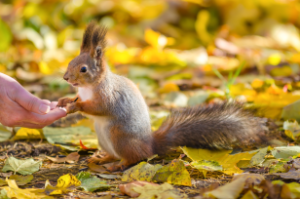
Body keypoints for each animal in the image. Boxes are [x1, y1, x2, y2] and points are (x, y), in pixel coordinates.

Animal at [57, 22, 268, 171]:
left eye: (83, 69)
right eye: (70, 62)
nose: (66, 77)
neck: (88, 88)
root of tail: (150, 145)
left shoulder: (108, 96)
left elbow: (97, 108)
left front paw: (75, 106)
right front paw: (64, 101)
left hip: (119, 136)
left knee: (135, 158)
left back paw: (120, 164)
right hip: (103, 137)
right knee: (118, 154)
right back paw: (104, 157)